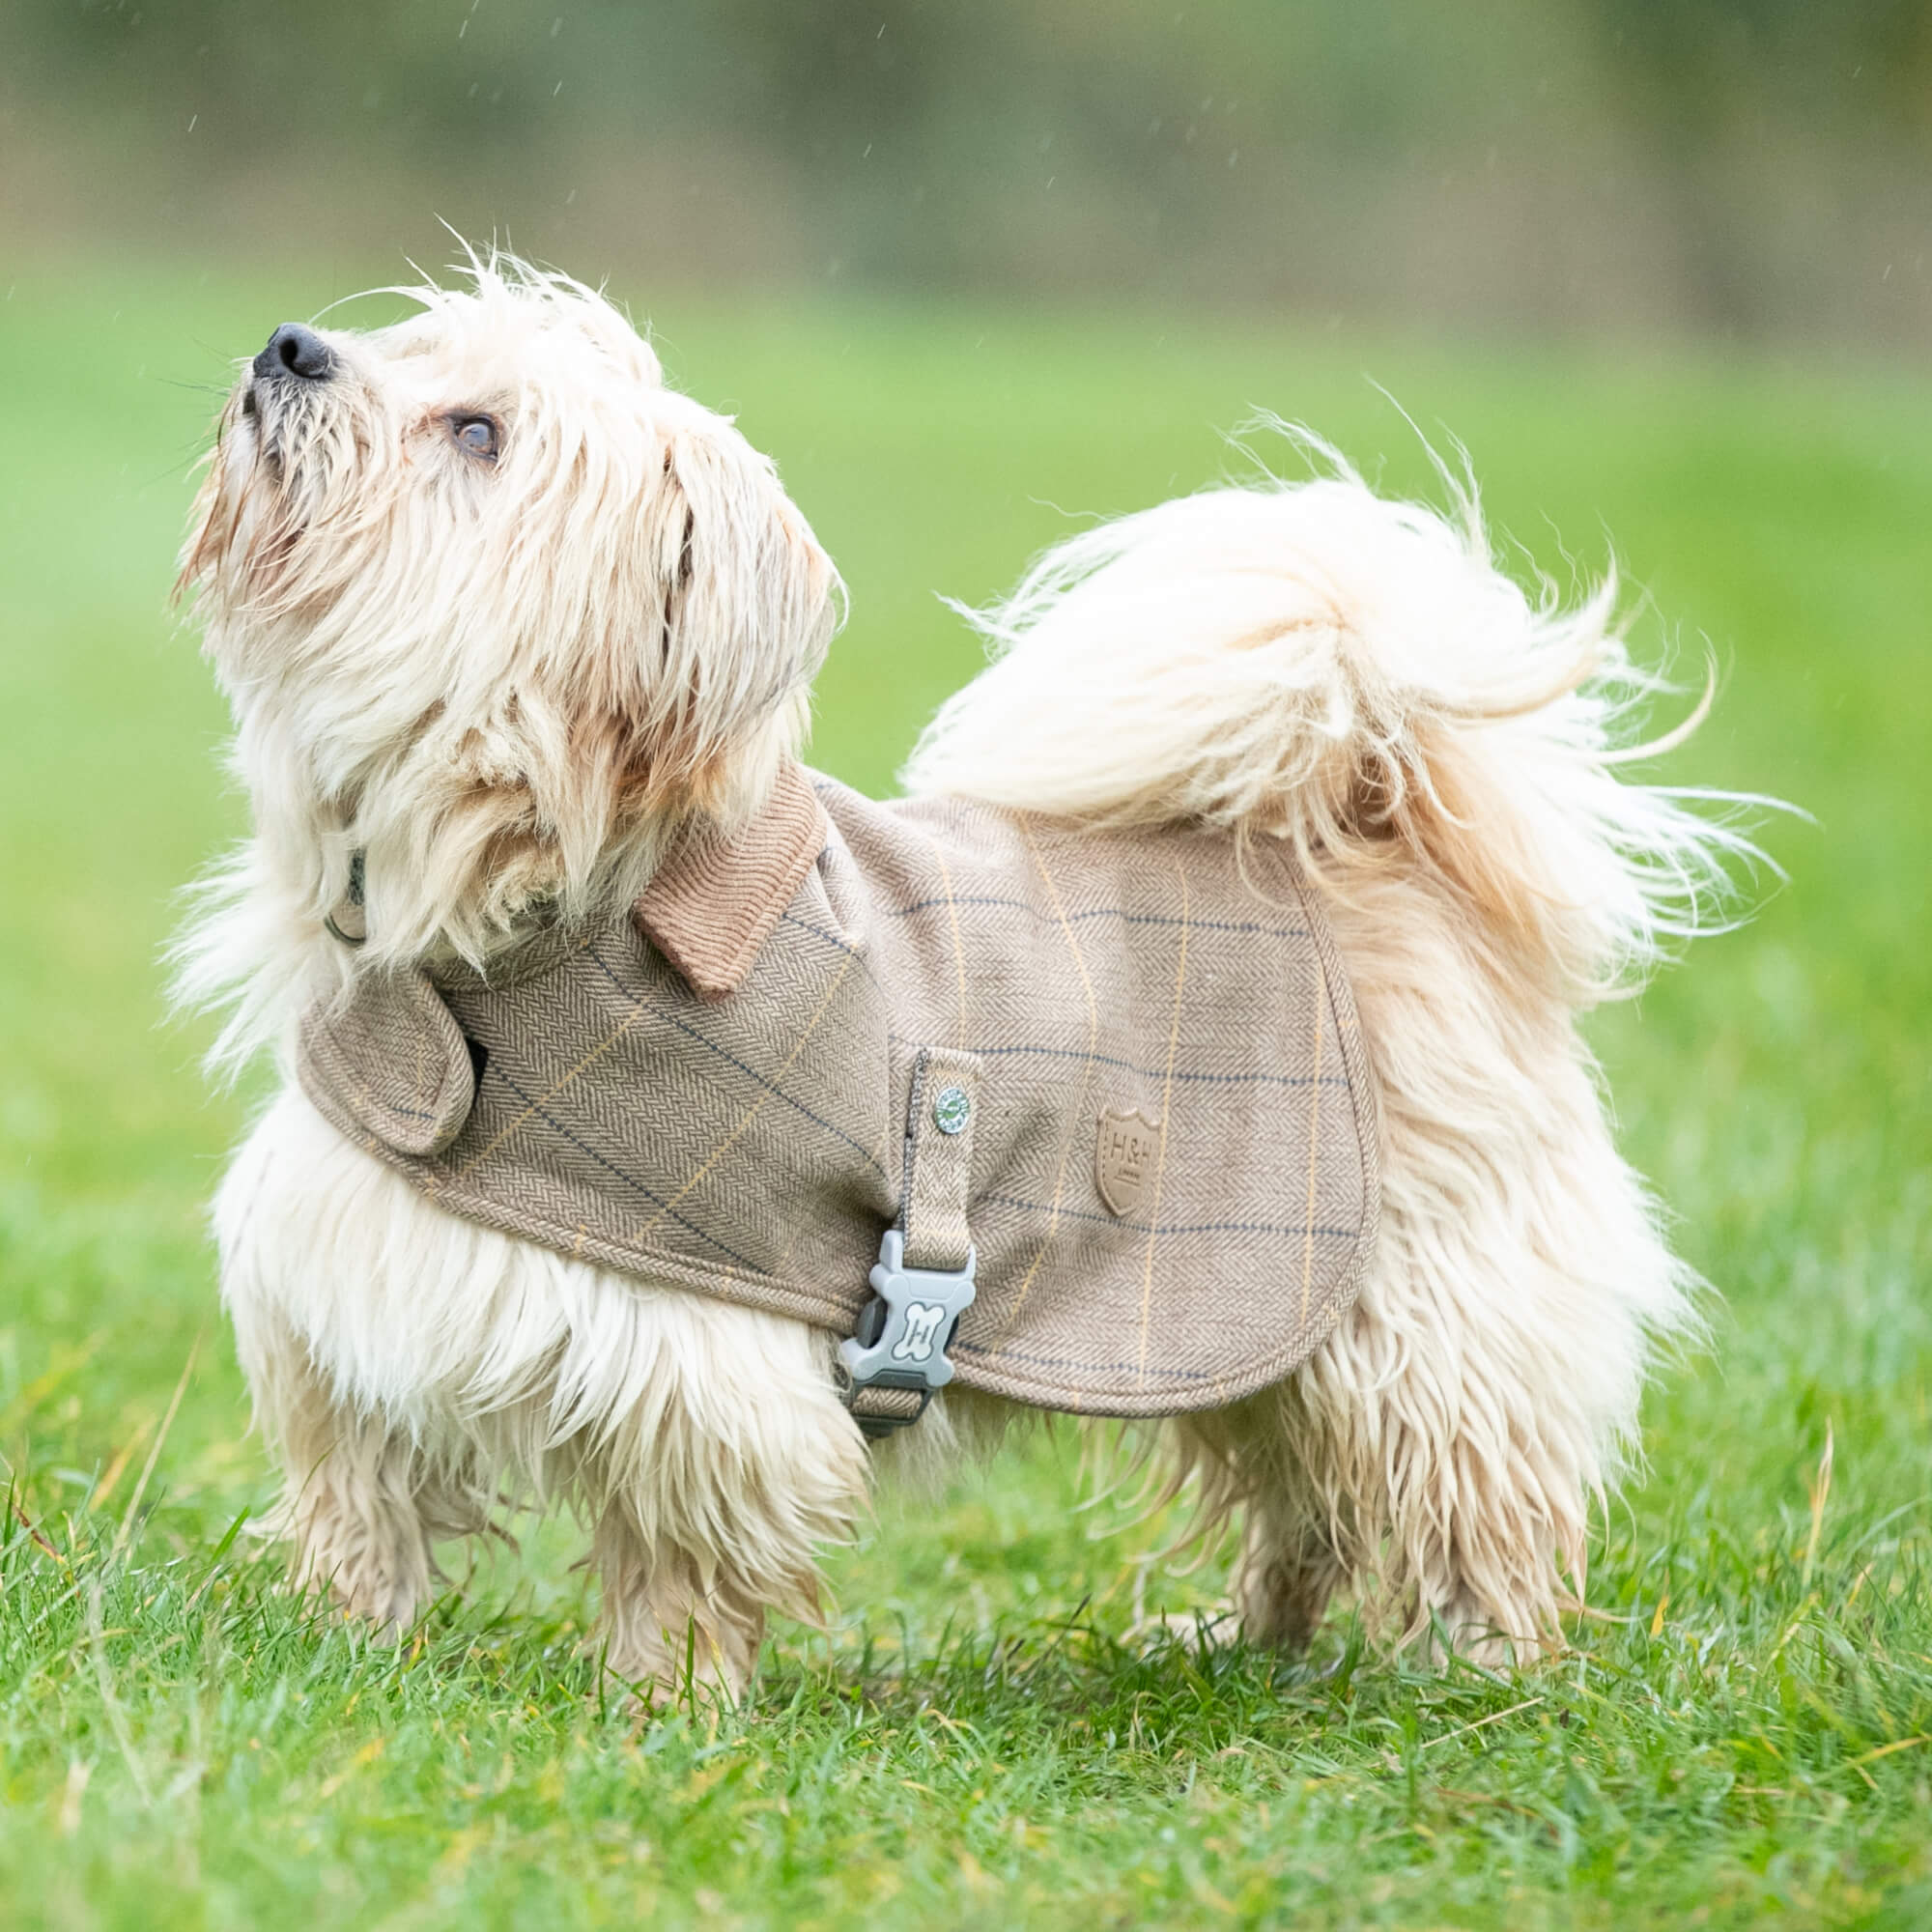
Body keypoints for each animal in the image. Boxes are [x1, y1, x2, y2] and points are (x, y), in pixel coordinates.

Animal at [182, 257, 1747, 1708]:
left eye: (479, 433)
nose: (287, 344)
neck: (534, 906)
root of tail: (1359, 819)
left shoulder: (703, 1370)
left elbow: (681, 1554)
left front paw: (660, 1703)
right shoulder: (347, 1293)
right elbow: (361, 1492)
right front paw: (334, 1637)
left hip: (1418, 1323)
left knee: (1470, 1498)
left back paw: (1485, 1675)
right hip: (1253, 1326)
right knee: (1298, 1506)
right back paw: (1239, 1646)